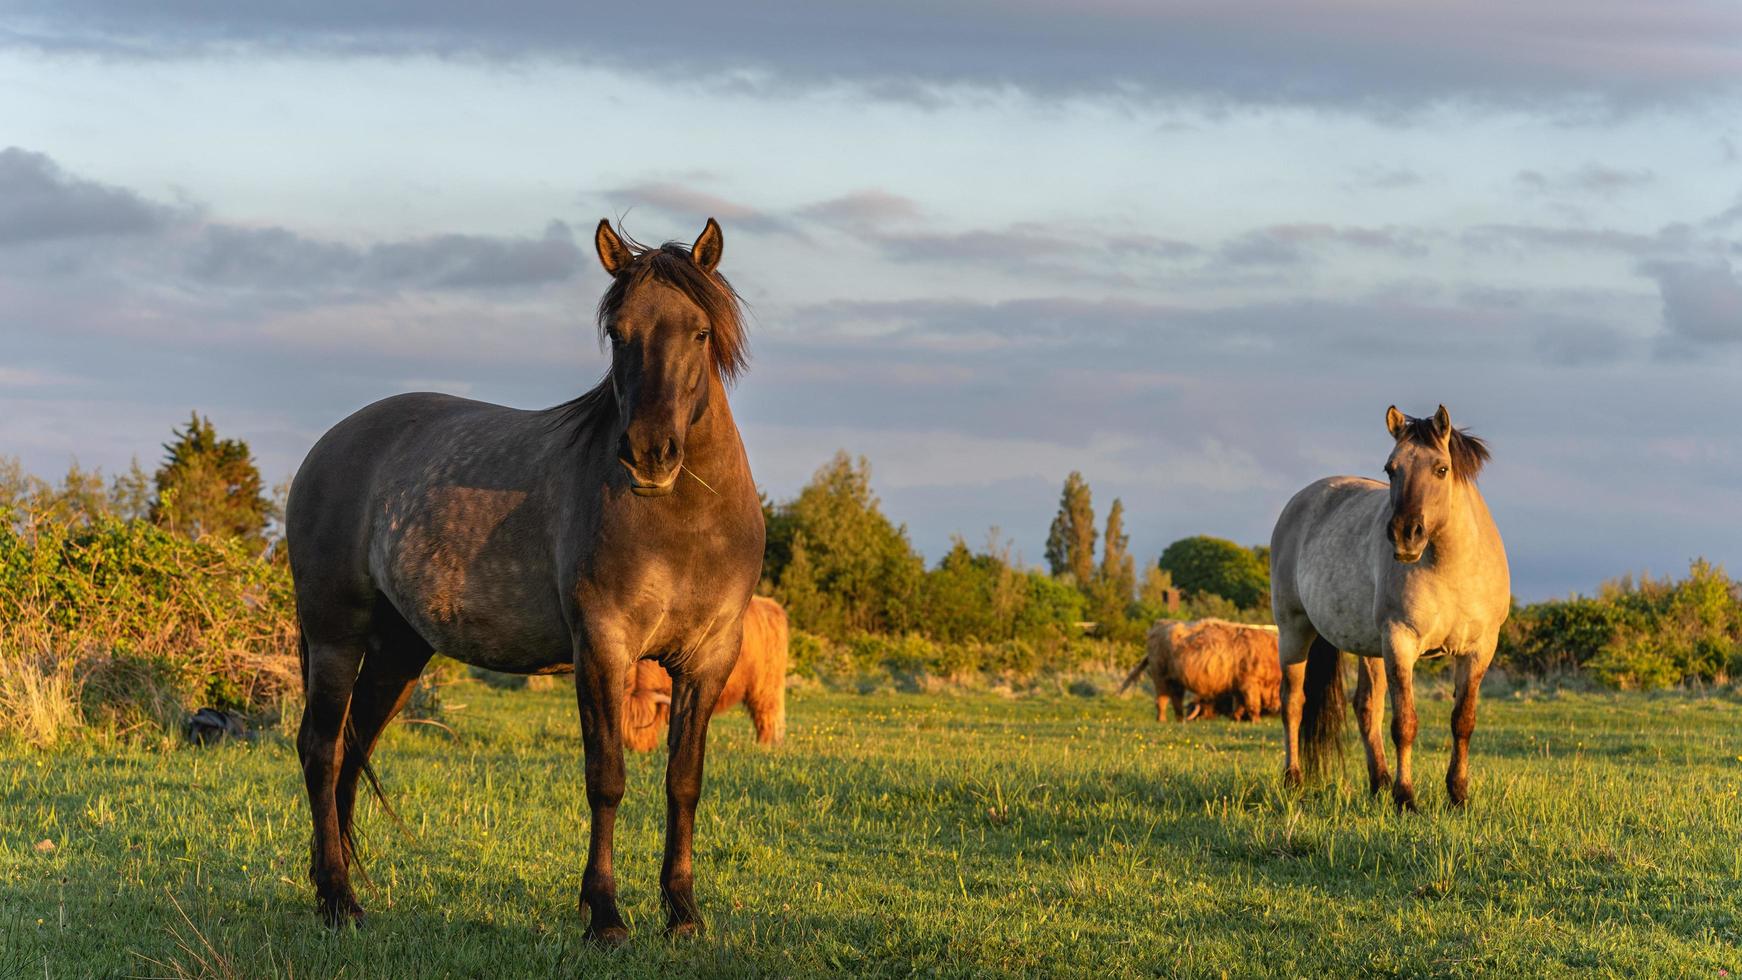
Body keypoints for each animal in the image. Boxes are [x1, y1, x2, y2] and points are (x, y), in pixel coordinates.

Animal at [285, 218, 762, 939]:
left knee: (351, 748)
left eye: (700, 331)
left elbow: (684, 781)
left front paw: (682, 913)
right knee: (323, 752)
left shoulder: (709, 658)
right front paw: (604, 915)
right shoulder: (603, 647)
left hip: (398, 652)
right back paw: (339, 900)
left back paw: (333, 891)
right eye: (618, 332)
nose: (648, 454)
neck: (684, 522)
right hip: (337, 639)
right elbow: (606, 777)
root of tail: (327, 447)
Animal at [627, 598, 790, 751]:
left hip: (766, 685)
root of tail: (772, 605)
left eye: (646, 725)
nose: (639, 749)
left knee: (768, 712)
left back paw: (765, 745)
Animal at [1114, 619, 1282, 720]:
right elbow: (1253, 705)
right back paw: (1162, 720)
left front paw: (1236, 718)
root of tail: (1159, 625)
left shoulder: (1239, 685)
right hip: (1160, 678)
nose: (1278, 709)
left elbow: (1240, 705)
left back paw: (1180, 720)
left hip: (1176, 681)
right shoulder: (1249, 683)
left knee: (1176, 700)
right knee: (1161, 700)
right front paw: (1255, 721)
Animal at [1268, 407, 1512, 814]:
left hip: (1370, 648)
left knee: (1366, 708)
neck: (1452, 567)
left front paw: (1458, 795)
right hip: (1294, 630)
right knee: (1292, 703)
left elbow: (1462, 721)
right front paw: (1406, 799)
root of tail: (1301, 501)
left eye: (1441, 469)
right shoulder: (1401, 642)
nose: (1404, 535)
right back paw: (1294, 780)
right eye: (1391, 469)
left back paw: (1379, 782)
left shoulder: (1478, 650)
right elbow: (1405, 724)